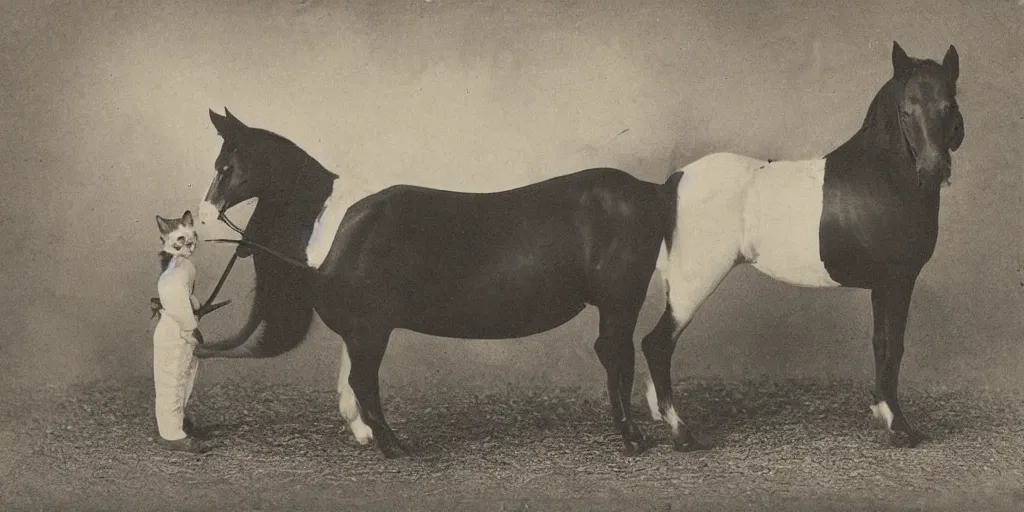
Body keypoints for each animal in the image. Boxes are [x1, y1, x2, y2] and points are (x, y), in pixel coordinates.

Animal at [192, 108, 679, 456]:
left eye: (225, 167)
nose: (201, 218)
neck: (338, 228)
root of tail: (648, 191)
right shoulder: (359, 329)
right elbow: (353, 382)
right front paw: (367, 435)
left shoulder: (370, 328)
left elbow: (363, 383)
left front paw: (388, 443)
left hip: (621, 300)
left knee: (617, 355)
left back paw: (634, 436)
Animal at [634, 41, 962, 450]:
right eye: (906, 109)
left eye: (948, 105)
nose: (934, 170)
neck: (882, 178)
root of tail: (676, 180)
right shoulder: (898, 281)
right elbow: (894, 346)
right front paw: (900, 427)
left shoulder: (882, 287)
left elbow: (881, 344)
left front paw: (883, 412)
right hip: (693, 284)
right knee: (657, 344)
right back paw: (681, 432)